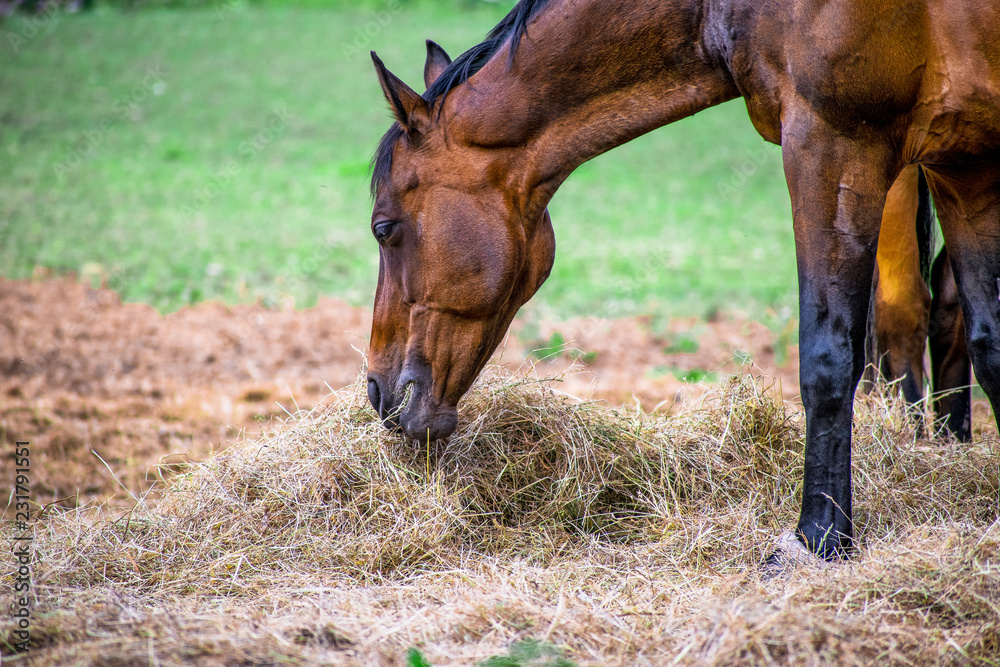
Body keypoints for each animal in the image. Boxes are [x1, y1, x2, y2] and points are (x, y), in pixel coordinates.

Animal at [365, 0, 1000, 561]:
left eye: (383, 228)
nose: (375, 391)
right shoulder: (965, 165)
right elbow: (989, 346)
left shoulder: (833, 144)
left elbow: (828, 361)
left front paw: (819, 540)